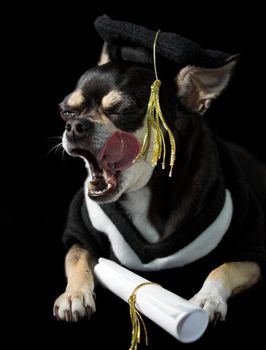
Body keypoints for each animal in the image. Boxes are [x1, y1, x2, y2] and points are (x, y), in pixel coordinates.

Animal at [53, 15, 264, 322]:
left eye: (123, 111)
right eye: (66, 112)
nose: (74, 126)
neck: (146, 192)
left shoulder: (249, 249)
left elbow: (222, 268)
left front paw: (207, 298)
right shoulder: (80, 235)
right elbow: (78, 259)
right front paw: (74, 295)